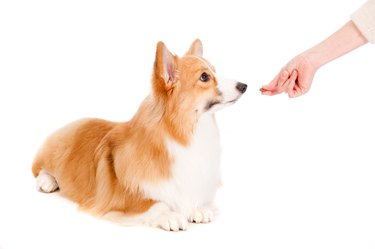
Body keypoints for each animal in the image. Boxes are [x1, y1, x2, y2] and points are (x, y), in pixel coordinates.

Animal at [31, 39, 247, 231]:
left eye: (215, 71)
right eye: (204, 77)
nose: (244, 86)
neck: (187, 132)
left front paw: (198, 209)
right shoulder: (122, 199)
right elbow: (157, 204)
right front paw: (171, 216)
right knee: (41, 168)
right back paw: (47, 182)